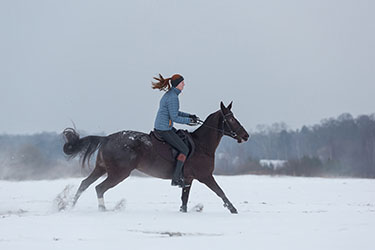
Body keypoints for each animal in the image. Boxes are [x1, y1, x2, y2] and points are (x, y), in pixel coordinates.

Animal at [63, 101, 251, 213]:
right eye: (231, 119)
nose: (246, 135)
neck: (202, 145)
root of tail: (107, 138)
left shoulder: (189, 178)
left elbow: (184, 198)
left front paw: (183, 212)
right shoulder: (205, 176)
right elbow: (220, 191)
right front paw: (233, 209)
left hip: (101, 168)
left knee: (84, 184)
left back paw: (69, 207)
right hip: (118, 174)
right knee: (99, 188)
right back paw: (102, 210)